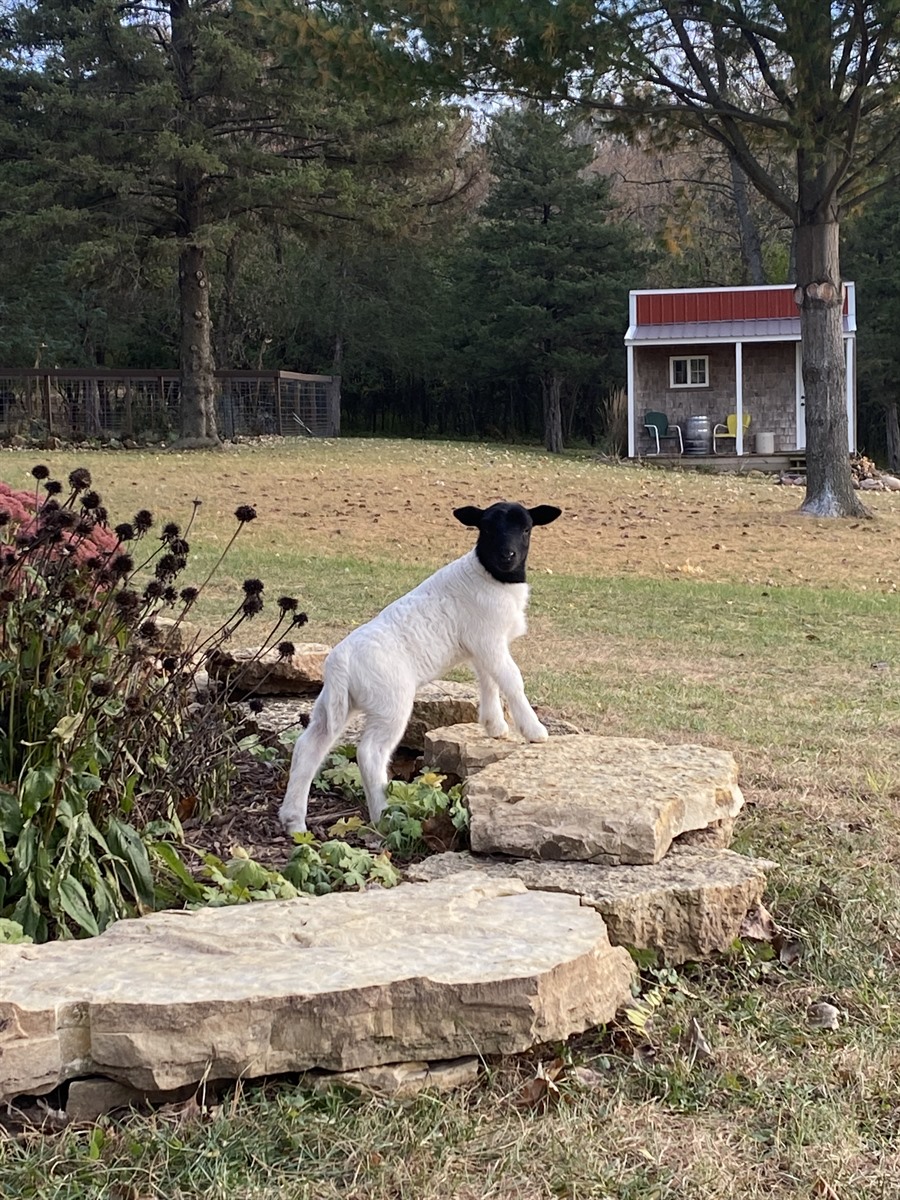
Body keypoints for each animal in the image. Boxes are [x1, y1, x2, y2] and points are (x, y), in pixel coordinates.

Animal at [279, 501, 562, 834]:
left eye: (527, 528)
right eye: (487, 528)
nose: (508, 555)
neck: (490, 576)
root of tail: (340, 663)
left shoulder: (482, 646)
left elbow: (489, 681)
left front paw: (495, 727)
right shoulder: (489, 639)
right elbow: (512, 680)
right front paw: (534, 731)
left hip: (334, 703)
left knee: (309, 746)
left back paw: (294, 821)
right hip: (390, 703)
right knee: (370, 753)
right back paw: (384, 815)